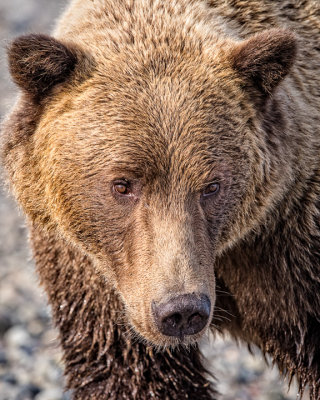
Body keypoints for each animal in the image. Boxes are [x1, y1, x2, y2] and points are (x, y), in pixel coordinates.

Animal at [0, 0, 320, 398]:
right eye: (122, 185)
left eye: (212, 186)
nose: (181, 310)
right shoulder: (97, 273)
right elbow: (133, 372)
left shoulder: (287, 244)